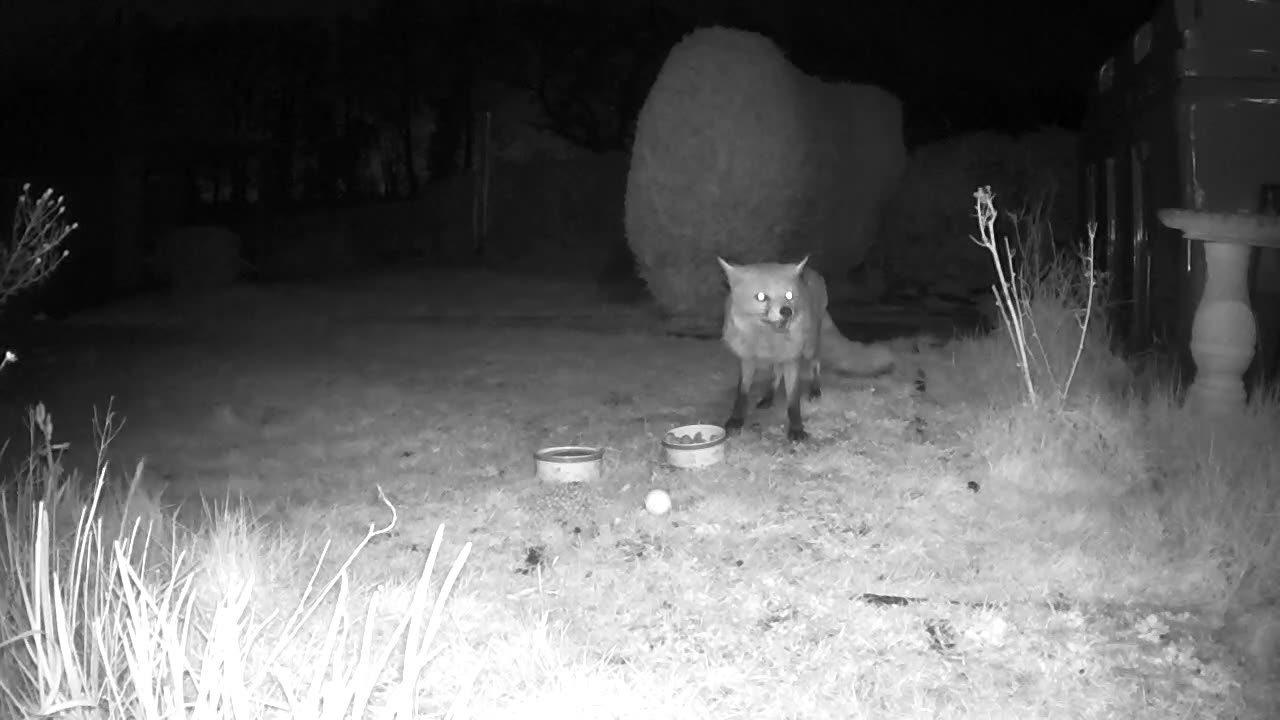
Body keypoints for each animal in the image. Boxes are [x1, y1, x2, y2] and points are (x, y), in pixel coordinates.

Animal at [721, 254, 890, 440]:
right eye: (761, 297)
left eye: (789, 295)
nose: (787, 311)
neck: (767, 343)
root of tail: (811, 271)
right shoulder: (747, 359)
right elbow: (742, 394)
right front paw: (735, 421)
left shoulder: (792, 358)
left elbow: (793, 400)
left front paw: (796, 429)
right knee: (776, 373)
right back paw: (768, 397)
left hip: (809, 348)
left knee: (815, 364)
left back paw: (815, 390)